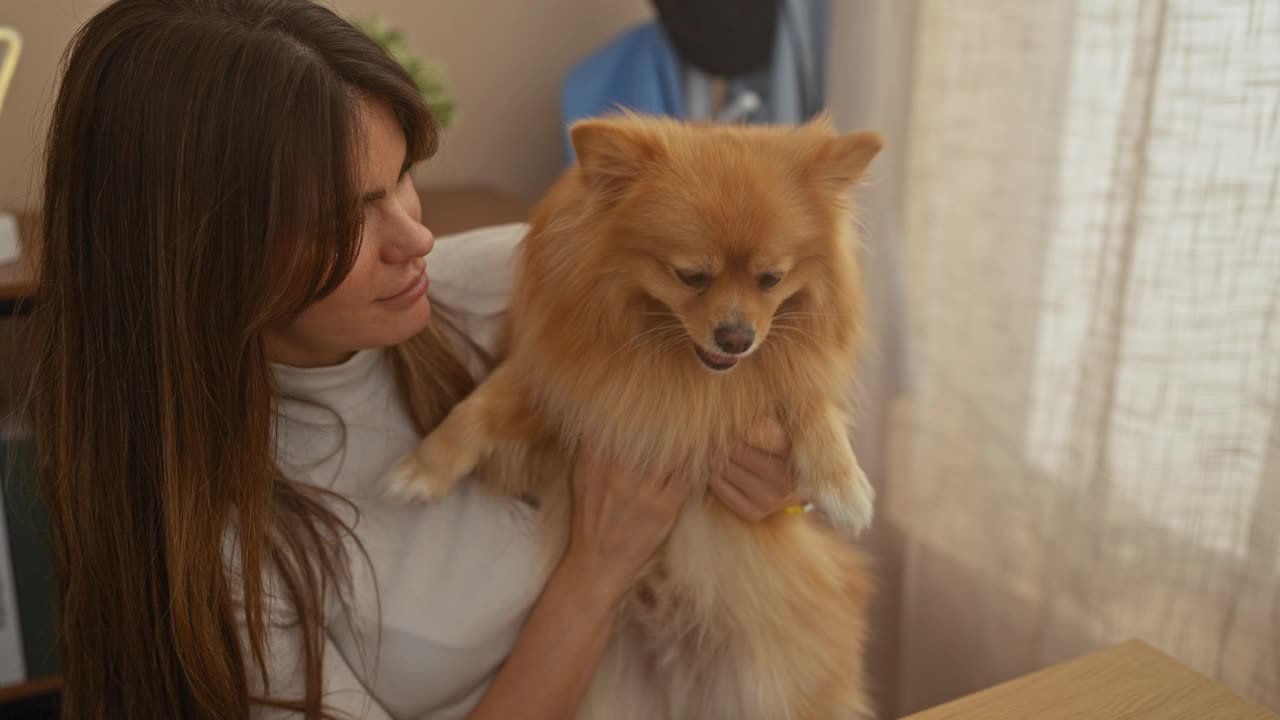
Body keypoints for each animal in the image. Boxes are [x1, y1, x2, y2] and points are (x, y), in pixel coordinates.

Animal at [389, 113, 885, 717]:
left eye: (771, 279)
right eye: (690, 275)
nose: (737, 337)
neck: (675, 361)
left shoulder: (776, 389)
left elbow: (812, 403)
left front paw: (843, 484)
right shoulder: (557, 388)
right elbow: (479, 407)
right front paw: (422, 469)